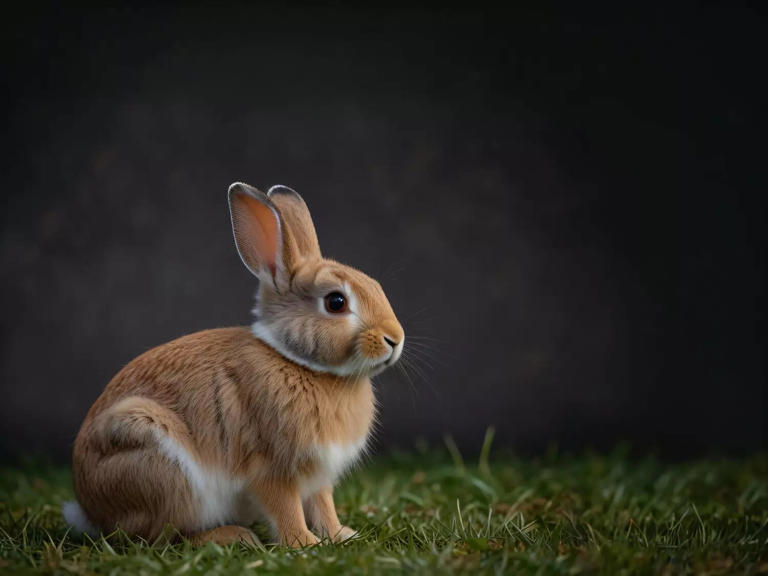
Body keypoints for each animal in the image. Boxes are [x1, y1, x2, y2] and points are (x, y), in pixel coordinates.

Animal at [62, 182, 404, 547]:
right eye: (336, 302)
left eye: (376, 287)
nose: (395, 338)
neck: (300, 364)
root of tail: (89, 510)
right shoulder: (270, 467)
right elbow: (285, 508)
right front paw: (304, 544)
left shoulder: (318, 477)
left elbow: (323, 505)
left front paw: (342, 536)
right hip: (154, 459)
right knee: (162, 535)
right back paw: (232, 536)